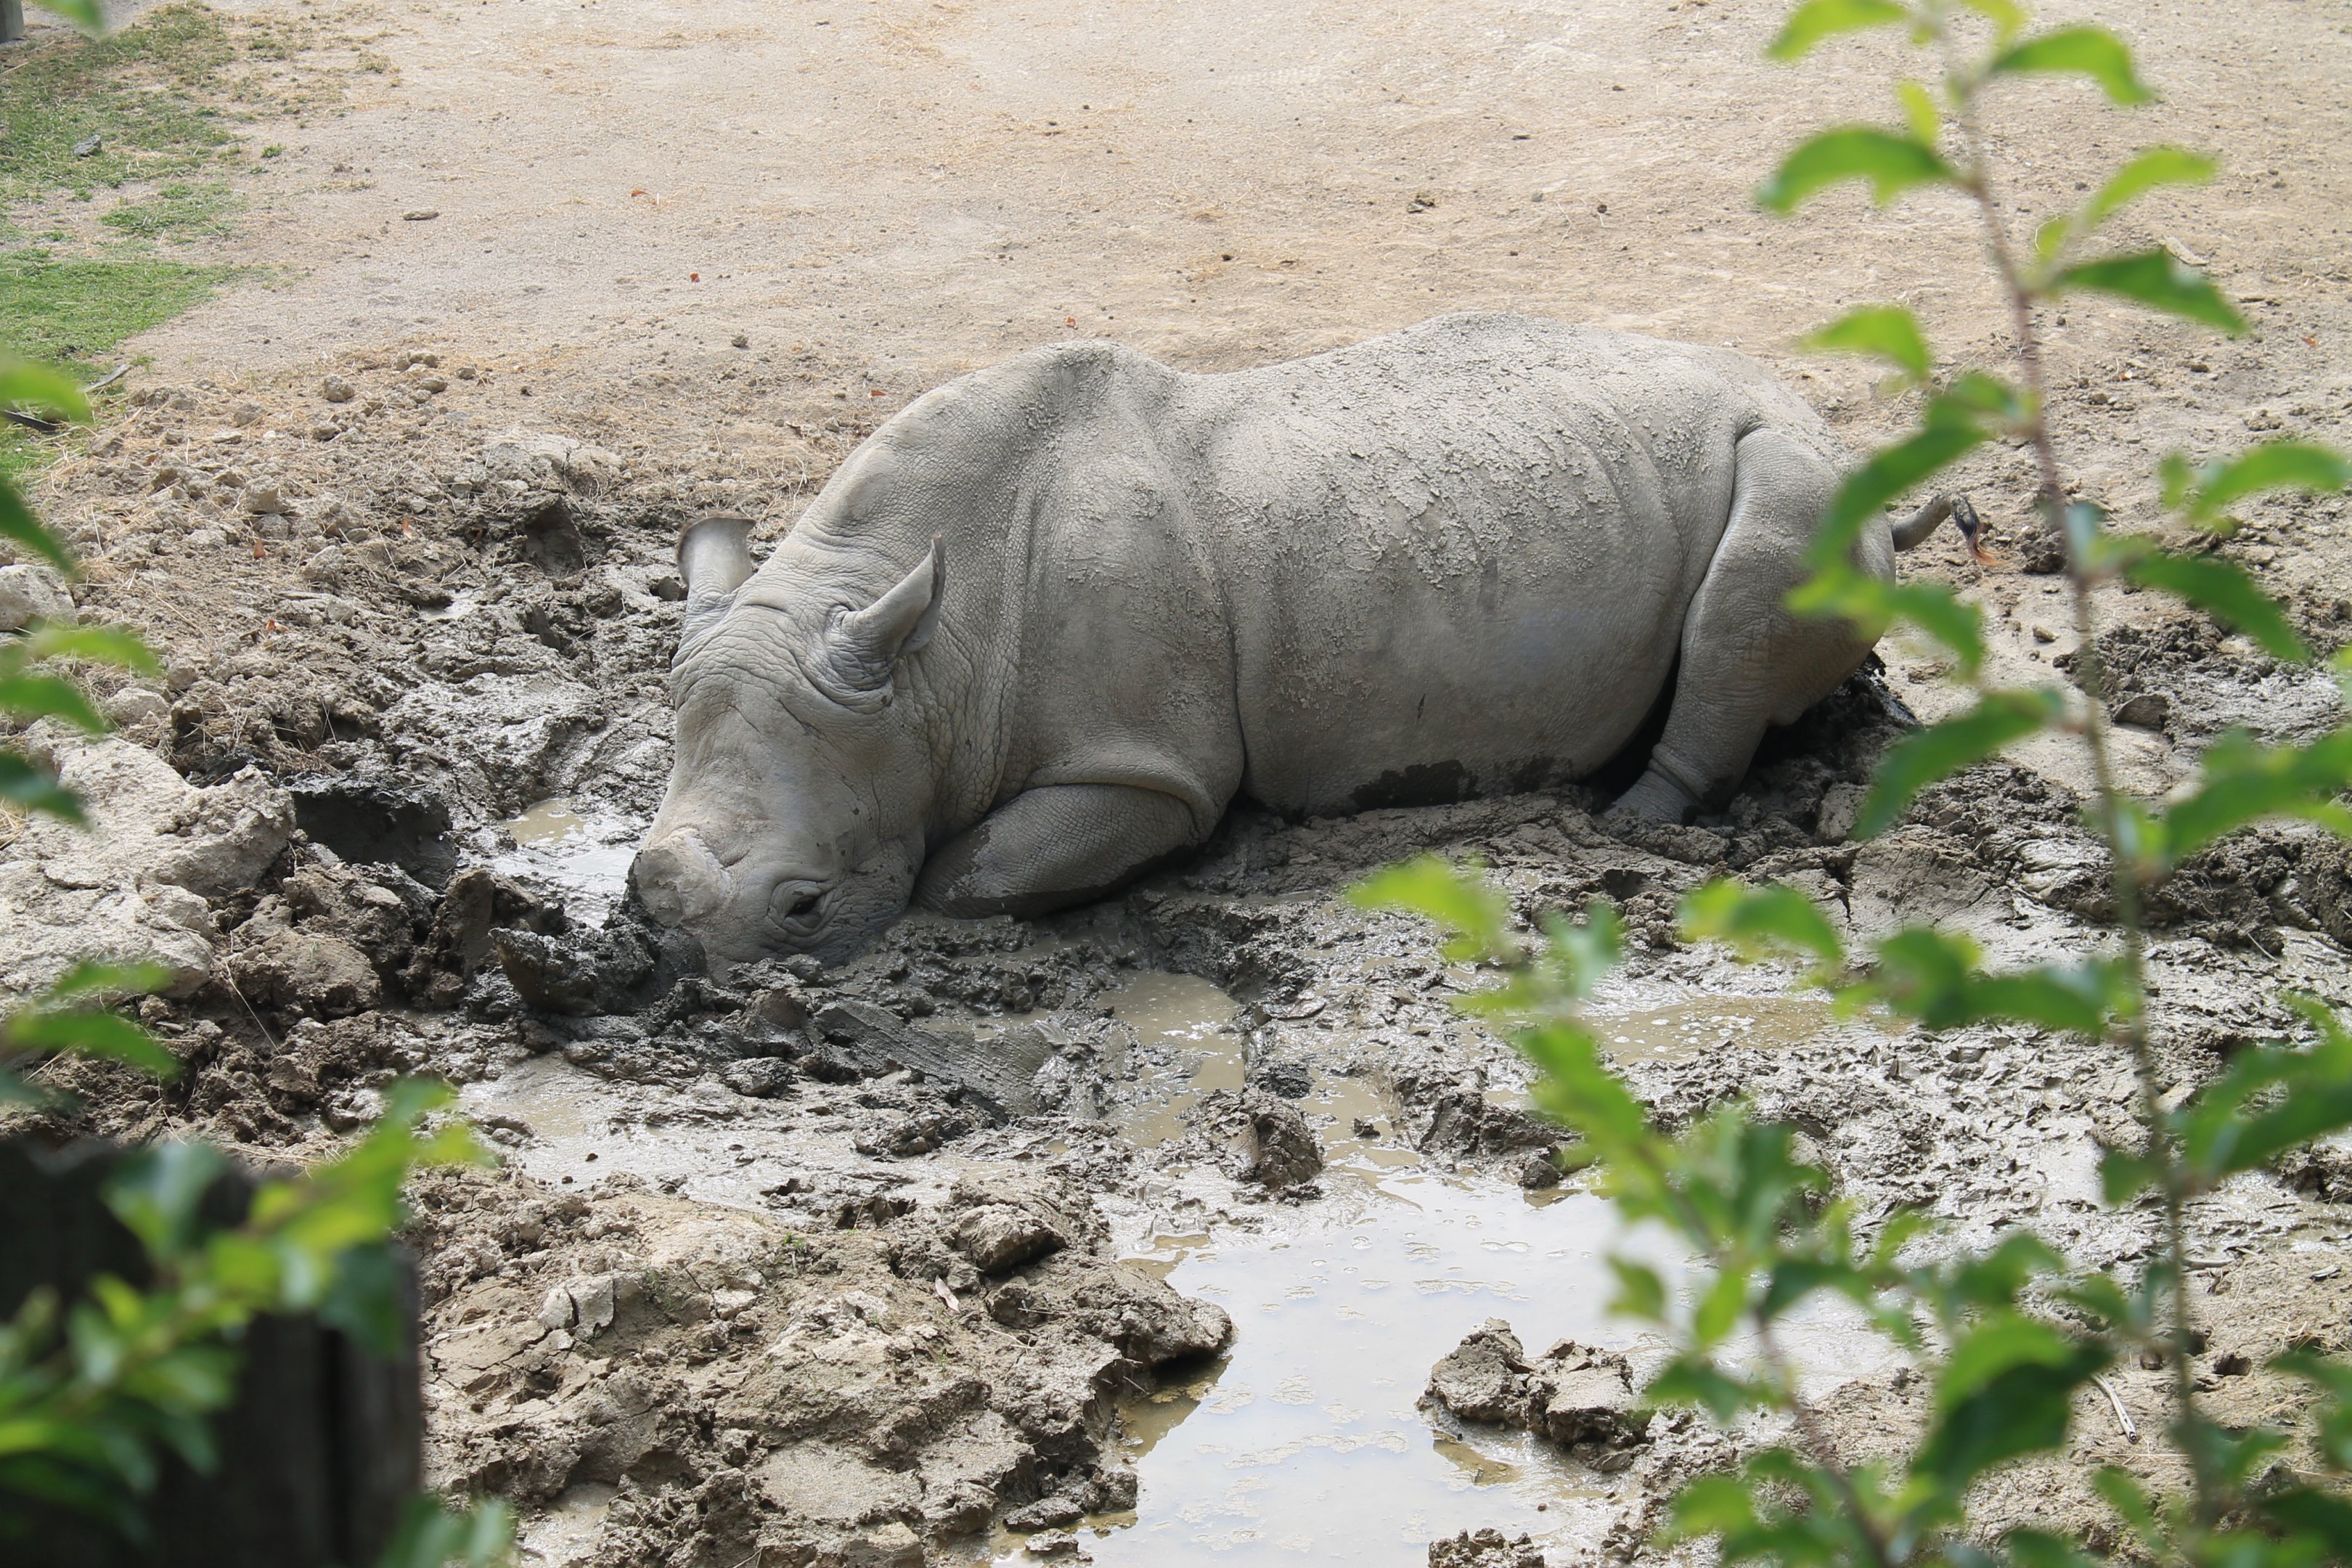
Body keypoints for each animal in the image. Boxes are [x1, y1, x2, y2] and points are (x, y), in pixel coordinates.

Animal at [633, 313, 1971, 968]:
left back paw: (1626, 822)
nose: (690, 953)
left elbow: (968, 874)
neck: (924, 660)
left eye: (804, 907)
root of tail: (1846, 443)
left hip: (1799, 472)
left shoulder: (1148, 768)